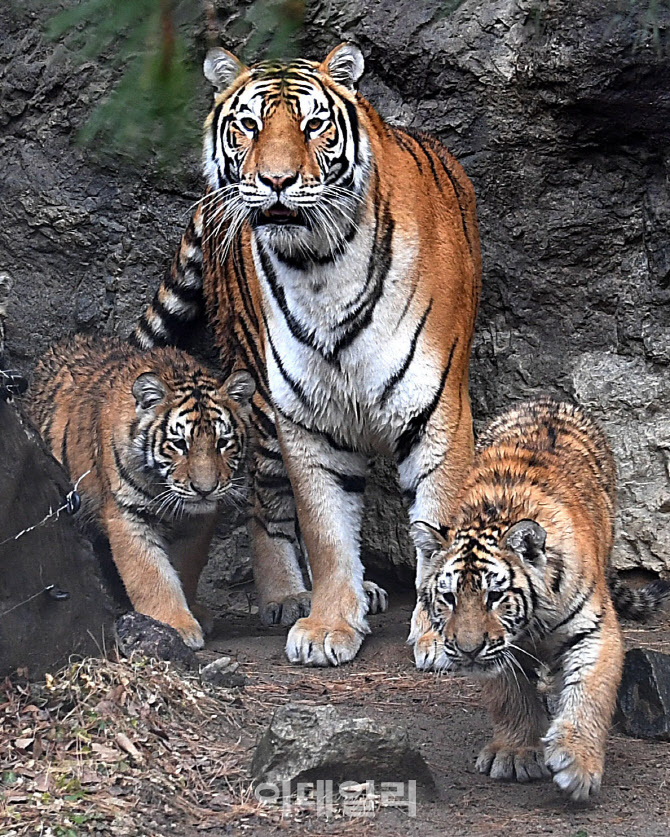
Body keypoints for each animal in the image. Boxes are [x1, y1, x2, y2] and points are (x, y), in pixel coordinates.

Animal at [133, 42, 484, 668]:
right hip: (258, 398)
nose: (276, 180)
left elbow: (439, 522)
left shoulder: (436, 411)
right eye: (249, 125)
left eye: (313, 124)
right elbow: (324, 529)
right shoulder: (306, 418)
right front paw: (326, 625)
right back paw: (288, 596)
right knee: (261, 502)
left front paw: (438, 634)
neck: (320, 265)